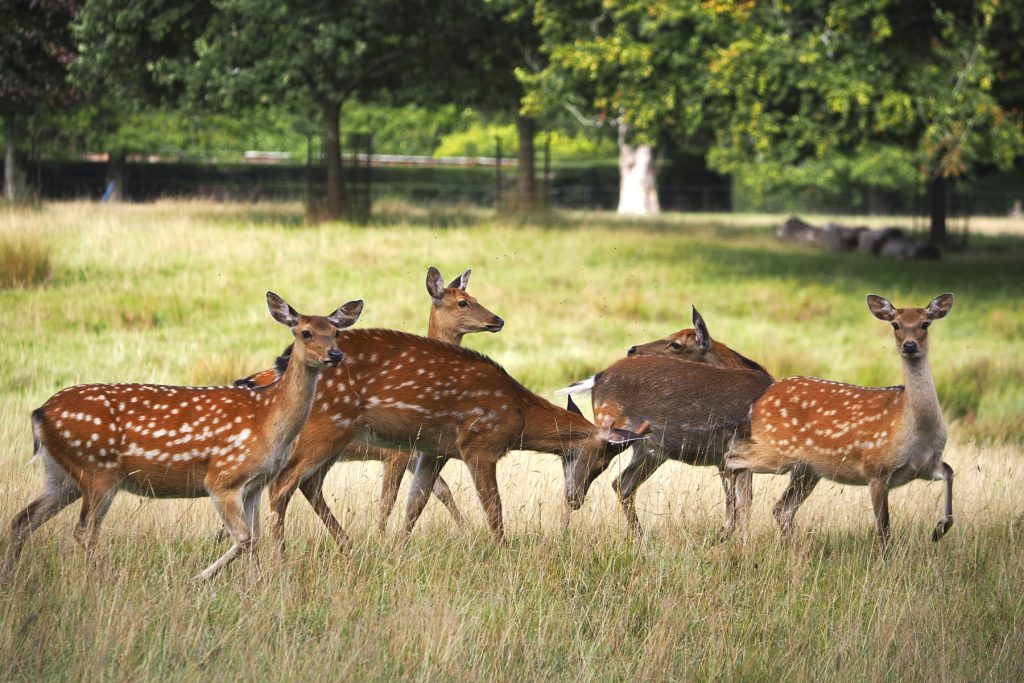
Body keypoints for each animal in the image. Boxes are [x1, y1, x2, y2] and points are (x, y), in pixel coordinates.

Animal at [0, 293, 363, 582]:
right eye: (305, 332)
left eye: (335, 332)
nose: (335, 355)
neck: (268, 418)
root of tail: (39, 414)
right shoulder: (222, 478)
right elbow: (243, 538)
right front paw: (198, 578)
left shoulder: (255, 483)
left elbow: (254, 538)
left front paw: (257, 585)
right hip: (97, 470)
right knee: (85, 531)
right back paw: (104, 580)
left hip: (62, 475)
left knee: (23, 519)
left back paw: (11, 578)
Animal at [232, 267, 504, 537]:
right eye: (463, 303)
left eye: (474, 297)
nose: (497, 320)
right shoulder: (396, 453)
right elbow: (389, 499)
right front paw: (382, 537)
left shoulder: (417, 453)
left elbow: (440, 491)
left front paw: (467, 530)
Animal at [558, 306, 774, 538]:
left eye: (676, 344)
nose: (632, 349)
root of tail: (596, 378)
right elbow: (741, 503)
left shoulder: (724, 459)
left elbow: (736, 502)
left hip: (650, 449)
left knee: (622, 484)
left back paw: (640, 537)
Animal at [724, 293, 955, 545]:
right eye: (896, 324)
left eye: (925, 324)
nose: (910, 345)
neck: (916, 429)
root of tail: (760, 400)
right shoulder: (875, 468)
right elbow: (883, 528)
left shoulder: (926, 465)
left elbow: (949, 472)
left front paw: (939, 529)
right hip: (778, 449)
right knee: (733, 458)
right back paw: (734, 522)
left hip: (807, 468)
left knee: (781, 508)